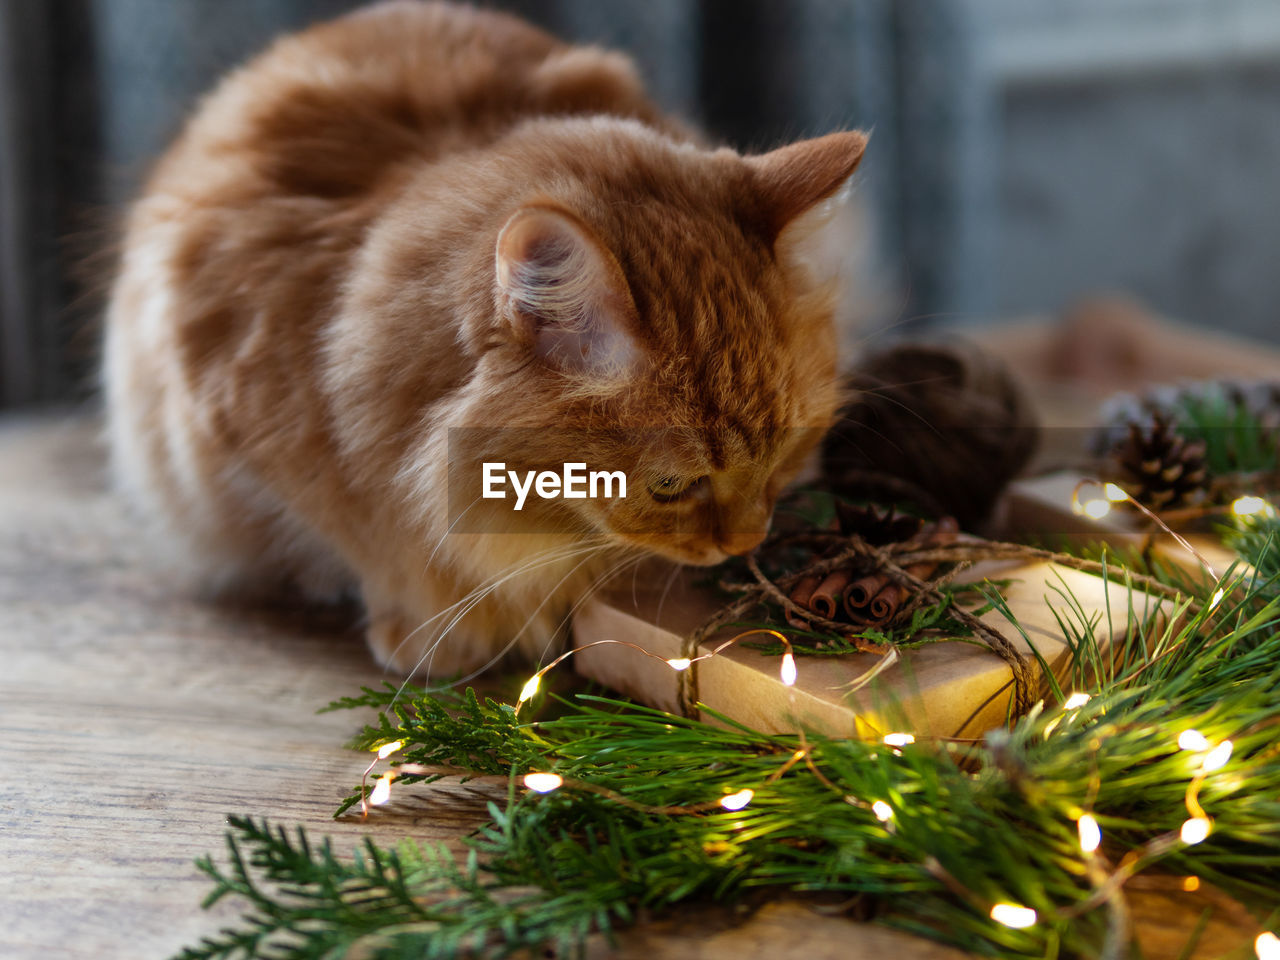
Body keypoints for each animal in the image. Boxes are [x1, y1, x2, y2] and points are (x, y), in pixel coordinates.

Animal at [104, 0, 870, 675]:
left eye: (785, 456)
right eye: (669, 486)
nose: (747, 542)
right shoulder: (236, 415)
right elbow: (375, 543)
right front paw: (438, 628)